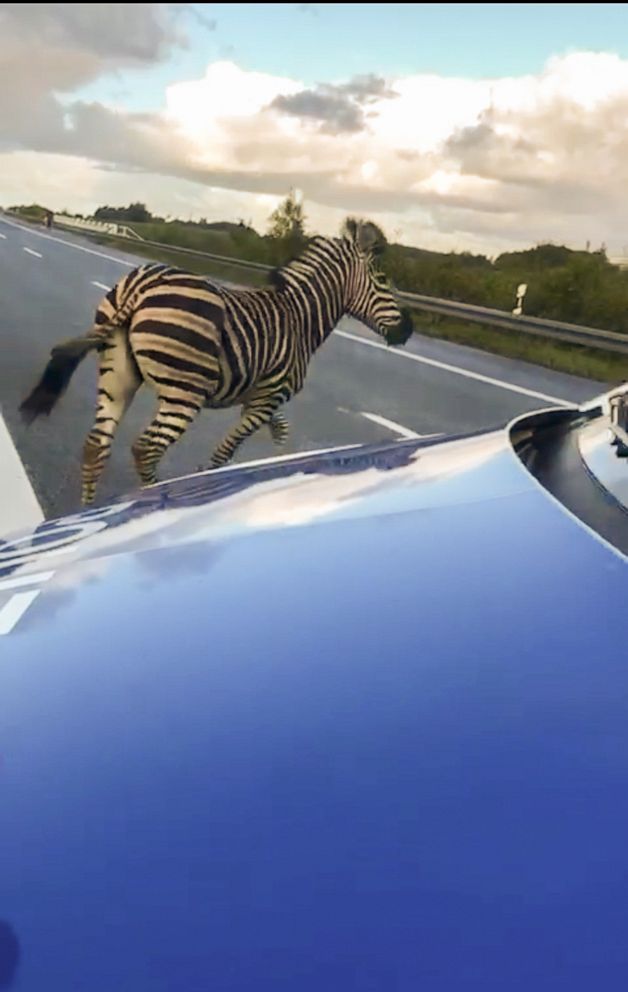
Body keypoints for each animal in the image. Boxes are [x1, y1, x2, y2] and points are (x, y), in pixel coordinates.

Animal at [19, 221, 414, 508]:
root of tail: (141, 285)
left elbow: (281, 432)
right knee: (146, 449)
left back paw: (88, 511)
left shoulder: (263, 397)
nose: (408, 330)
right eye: (382, 281)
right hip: (184, 393)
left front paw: (285, 467)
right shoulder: (267, 398)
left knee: (96, 444)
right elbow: (225, 452)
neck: (300, 319)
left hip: (118, 375)